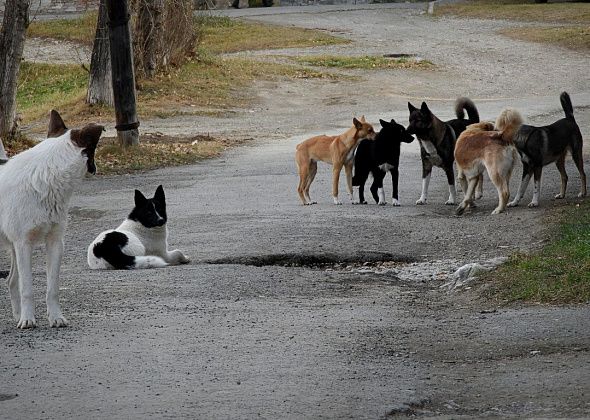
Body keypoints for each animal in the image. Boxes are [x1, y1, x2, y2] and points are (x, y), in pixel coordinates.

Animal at [0, 110, 104, 328]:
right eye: (93, 149)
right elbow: (27, 289)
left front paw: (55, 317)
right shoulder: (24, 245)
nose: (96, 168)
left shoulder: (55, 243)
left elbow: (52, 288)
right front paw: (28, 319)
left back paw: (17, 315)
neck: (45, 178)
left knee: (11, 280)